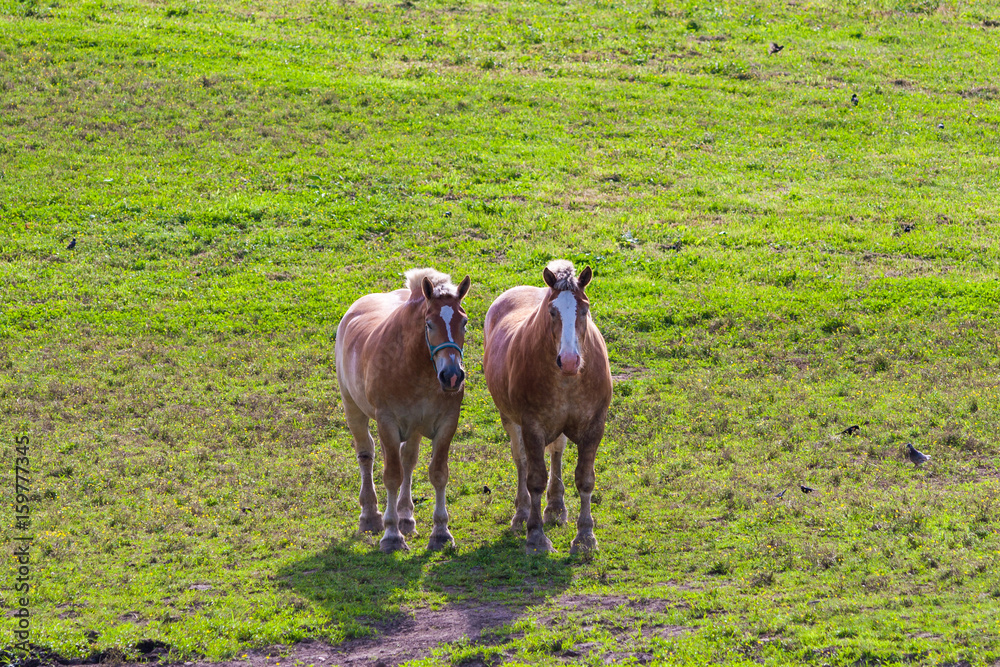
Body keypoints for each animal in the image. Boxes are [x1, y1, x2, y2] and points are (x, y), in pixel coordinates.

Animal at [335, 268, 471, 553]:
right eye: (429, 324)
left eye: (464, 322)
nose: (452, 376)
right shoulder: (386, 423)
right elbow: (392, 476)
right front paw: (391, 535)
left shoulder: (447, 423)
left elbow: (437, 473)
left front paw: (440, 532)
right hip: (353, 409)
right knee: (366, 454)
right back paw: (370, 516)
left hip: (415, 427)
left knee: (408, 459)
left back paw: (406, 517)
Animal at [483, 260, 612, 554]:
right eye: (552, 311)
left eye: (584, 309)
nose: (569, 360)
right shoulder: (532, 427)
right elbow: (535, 480)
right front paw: (536, 536)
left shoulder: (595, 427)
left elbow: (585, 479)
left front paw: (585, 537)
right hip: (511, 420)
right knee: (521, 461)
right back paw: (521, 514)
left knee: (556, 452)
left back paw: (555, 508)